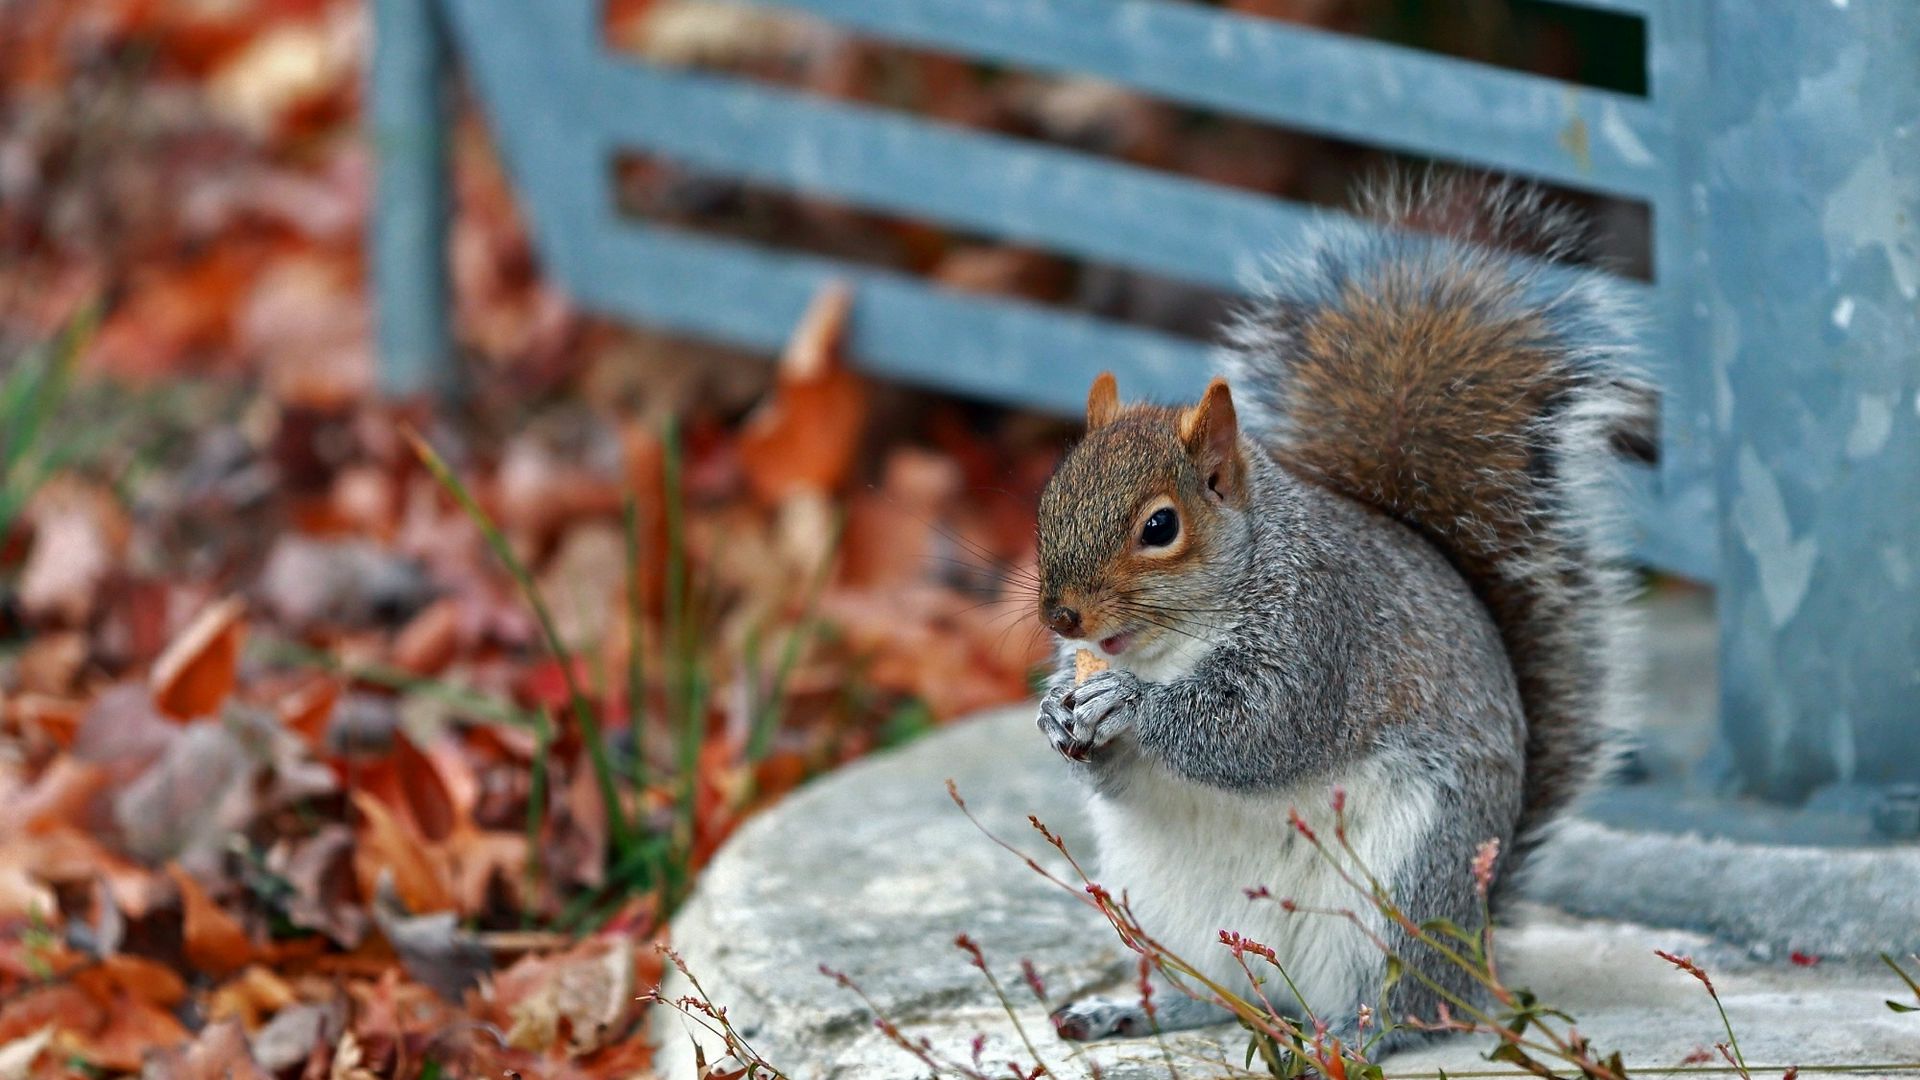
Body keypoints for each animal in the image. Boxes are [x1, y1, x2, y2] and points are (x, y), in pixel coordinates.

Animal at [1029, 176, 1643, 1053]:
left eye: (1160, 527)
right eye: (1049, 498)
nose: (1062, 617)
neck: (1172, 644)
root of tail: (1476, 948)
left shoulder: (1323, 630)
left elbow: (1256, 731)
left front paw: (1131, 705)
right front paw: (1057, 713)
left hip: (1403, 893)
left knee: (1402, 1004)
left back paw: (1352, 1038)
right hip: (1164, 909)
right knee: (1213, 995)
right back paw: (1134, 1009)